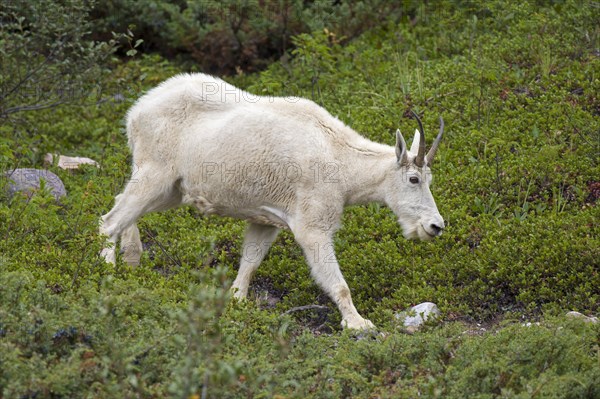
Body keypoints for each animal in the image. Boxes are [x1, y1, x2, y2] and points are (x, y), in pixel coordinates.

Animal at [99, 73, 446, 330]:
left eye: (429, 179)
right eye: (413, 179)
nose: (435, 226)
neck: (341, 161)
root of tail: (135, 112)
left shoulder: (265, 219)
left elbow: (250, 262)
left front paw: (236, 301)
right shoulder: (312, 225)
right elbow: (337, 282)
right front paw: (358, 323)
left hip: (171, 189)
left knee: (123, 207)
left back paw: (132, 258)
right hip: (155, 173)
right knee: (109, 220)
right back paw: (107, 271)